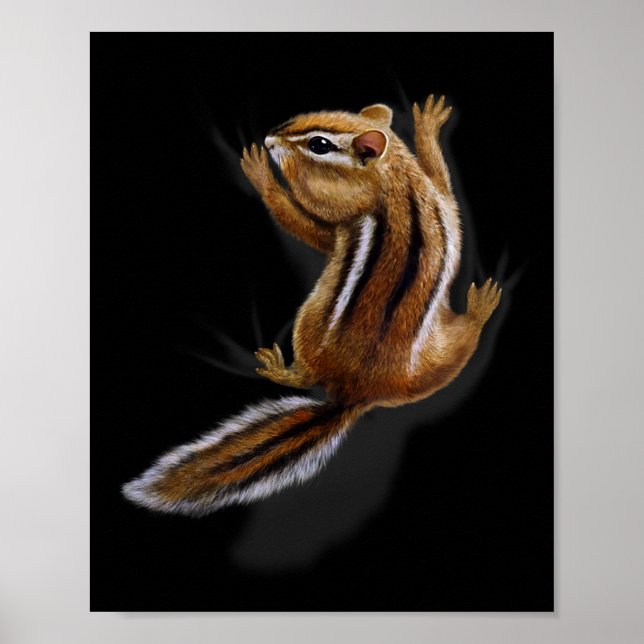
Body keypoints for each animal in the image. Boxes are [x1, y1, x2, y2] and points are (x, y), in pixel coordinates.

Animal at [122, 95, 502, 516]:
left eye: (319, 144)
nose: (270, 138)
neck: (394, 177)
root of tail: (355, 395)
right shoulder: (437, 195)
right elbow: (443, 181)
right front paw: (428, 122)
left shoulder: (344, 215)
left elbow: (308, 226)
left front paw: (262, 173)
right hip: (437, 363)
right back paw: (482, 304)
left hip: (309, 323)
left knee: (306, 375)